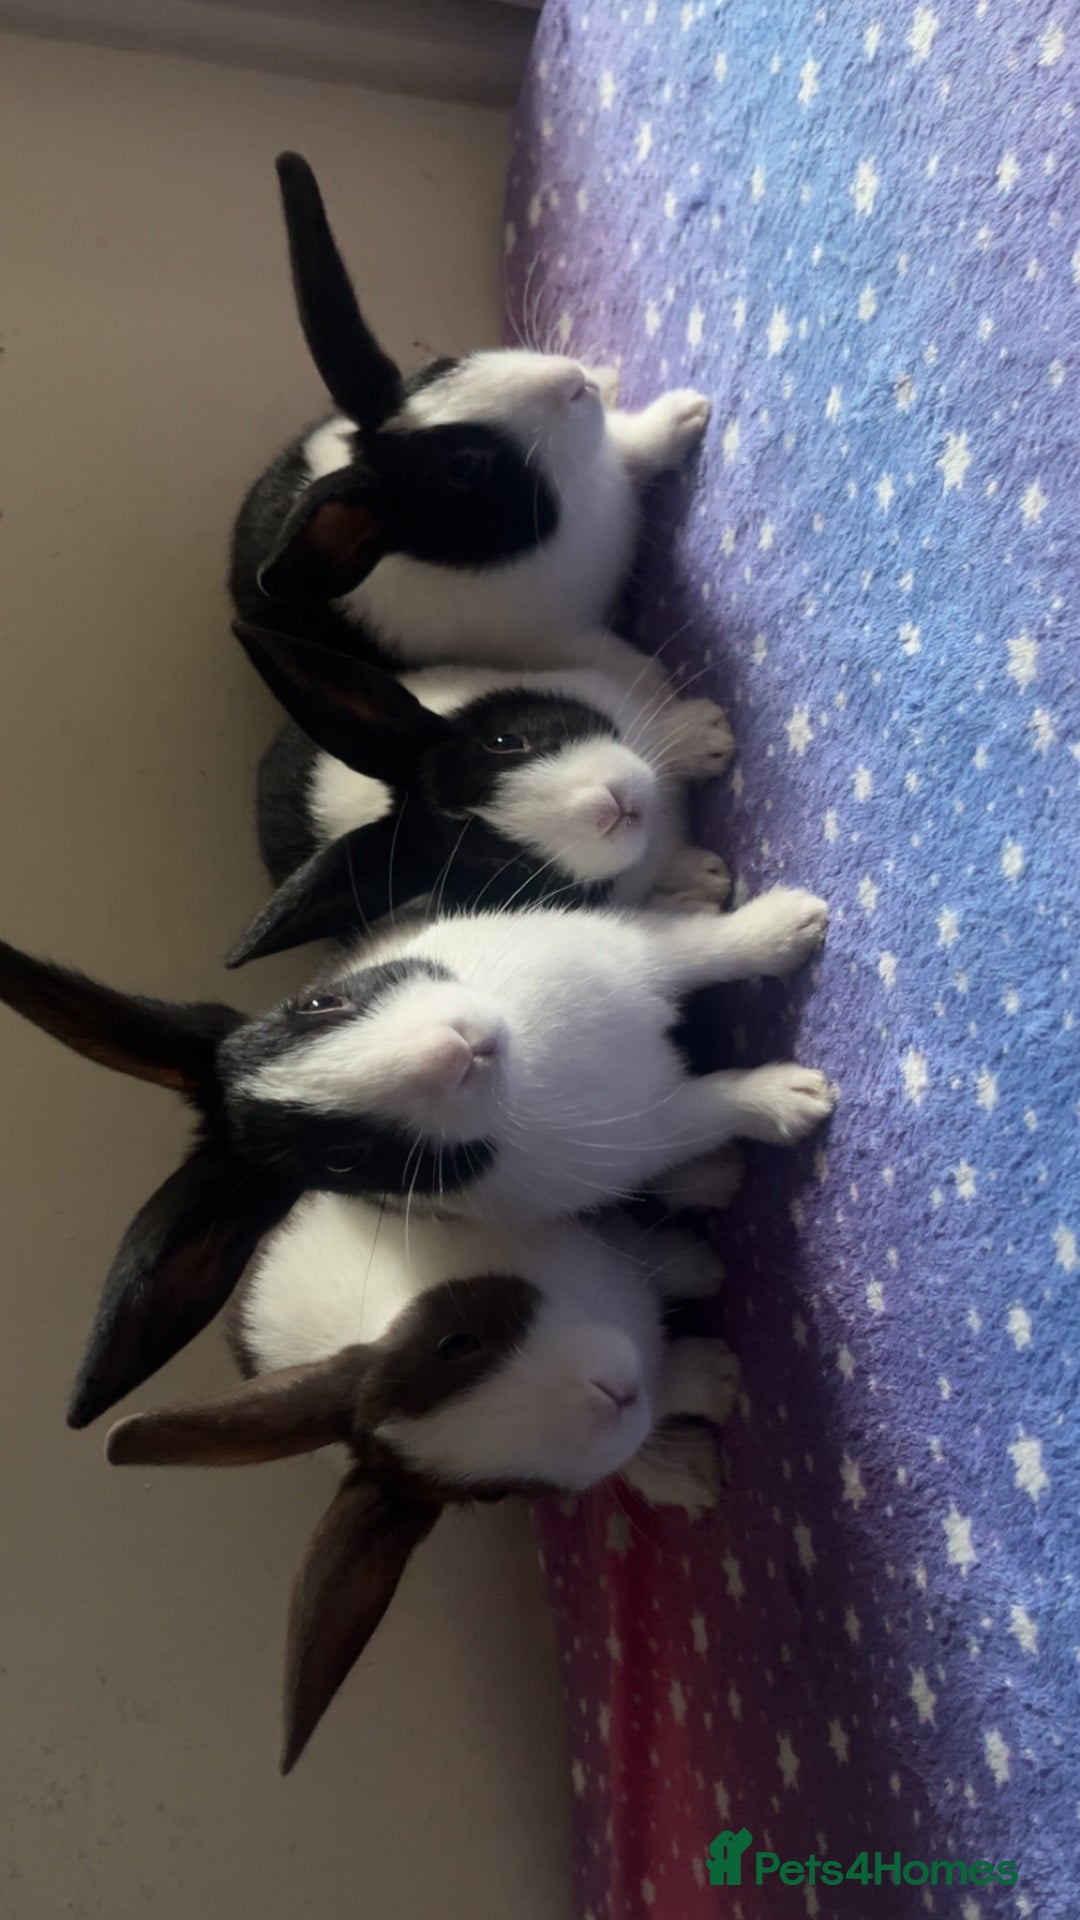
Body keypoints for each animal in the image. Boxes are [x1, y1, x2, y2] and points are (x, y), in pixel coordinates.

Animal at [0, 887, 833, 1425]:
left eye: (318, 1004)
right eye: (345, 1157)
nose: (457, 1047)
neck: (528, 1061)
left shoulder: (626, 954)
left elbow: (697, 949)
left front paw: (795, 922)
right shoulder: (643, 1129)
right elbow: (711, 1105)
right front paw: (799, 1101)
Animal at [106, 1192, 741, 1770]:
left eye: (455, 1343)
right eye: (491, 1493)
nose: (608, 1400)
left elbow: (634, 1246)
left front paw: (701, 1255)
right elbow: (659, 1402)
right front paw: (705, 1428)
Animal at [229, 153, 712, 690]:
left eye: (438, 367)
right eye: (465, 468)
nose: (571, 381)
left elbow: (637, 445)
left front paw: (689, 412)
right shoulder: (560, 643)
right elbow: (636, 671)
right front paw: (694, 706)